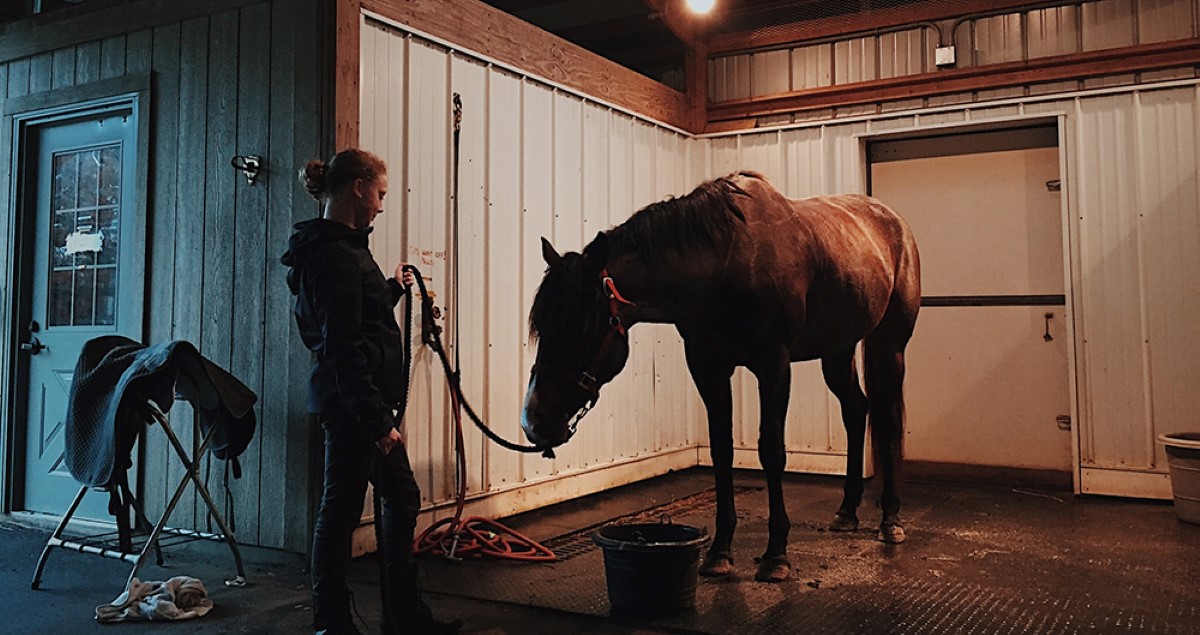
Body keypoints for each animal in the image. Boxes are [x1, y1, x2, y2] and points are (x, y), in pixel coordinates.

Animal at [520, 170, 921, 580]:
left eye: (583, 325)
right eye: (541, 326)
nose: (534, 421)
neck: (726, 264)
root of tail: (894, 223)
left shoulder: (773, 365)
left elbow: (771, 450)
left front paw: (776, 554)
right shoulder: (707, 367)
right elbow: (721, 449)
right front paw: (719, 552)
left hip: (889, 346)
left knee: (887, 419)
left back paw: (890, 520)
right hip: (837, 350)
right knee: (856, 411)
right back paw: (846, 512)